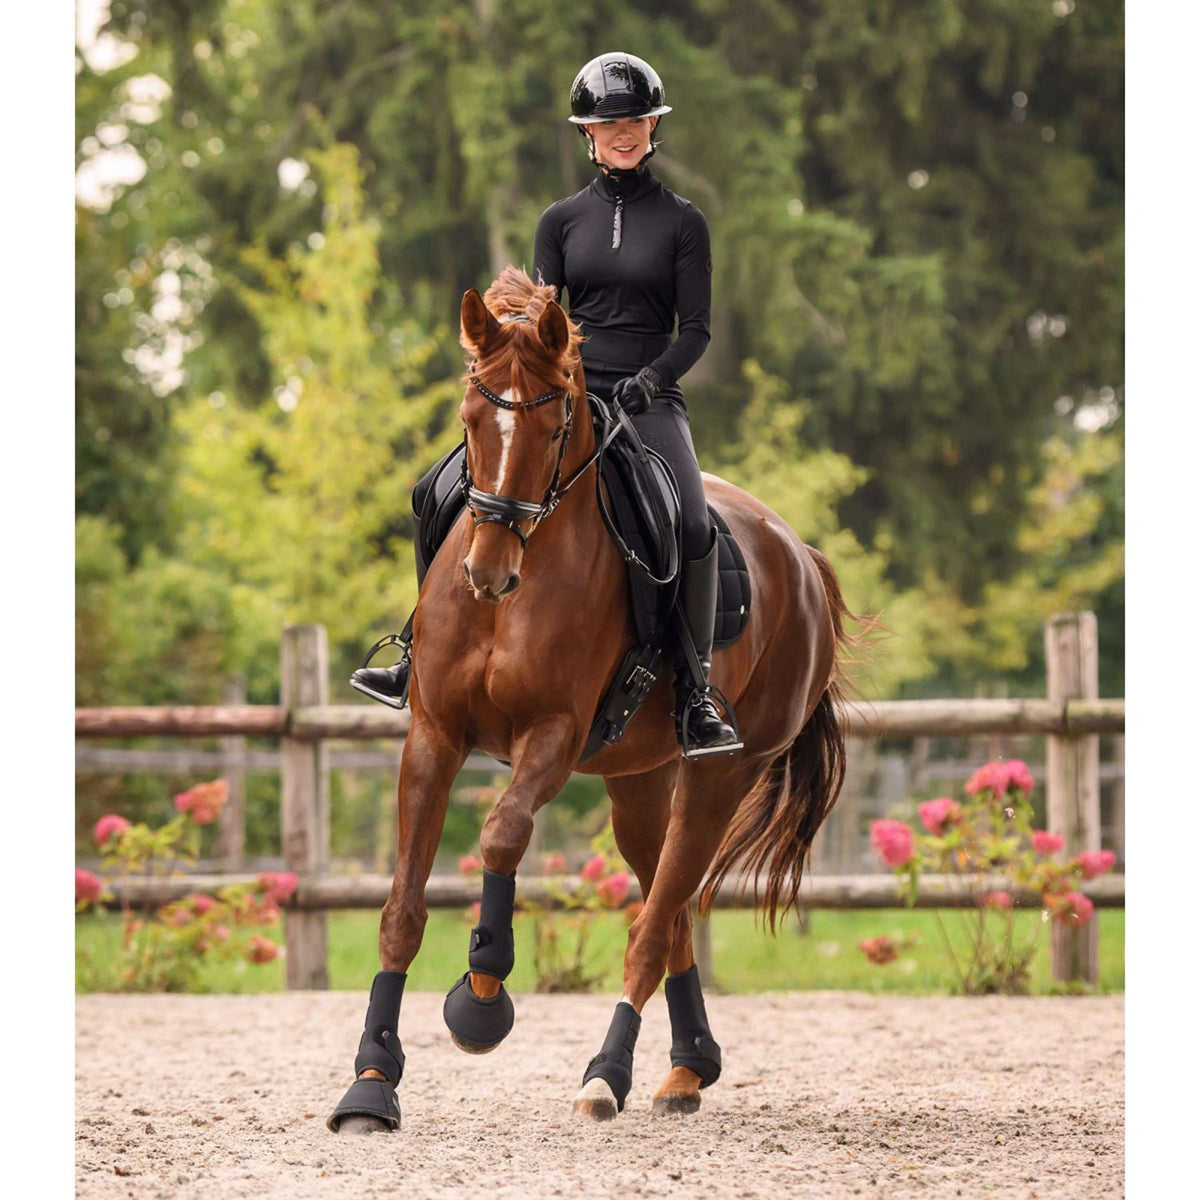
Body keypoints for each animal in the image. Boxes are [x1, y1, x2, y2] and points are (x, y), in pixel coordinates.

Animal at [327, 265, 854, 1133]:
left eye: (551, 431)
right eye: (472, 420)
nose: (488, 572)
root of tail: (799, 553)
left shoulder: (554, 734)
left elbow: (503, 833)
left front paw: (482, 997)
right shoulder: (433, 735)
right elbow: (402, 909)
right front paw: (371, 1083)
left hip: (719, 776)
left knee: (654, 921)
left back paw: (607, 1074)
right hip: (638, 783)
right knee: (668, 915)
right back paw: (687, 1068)